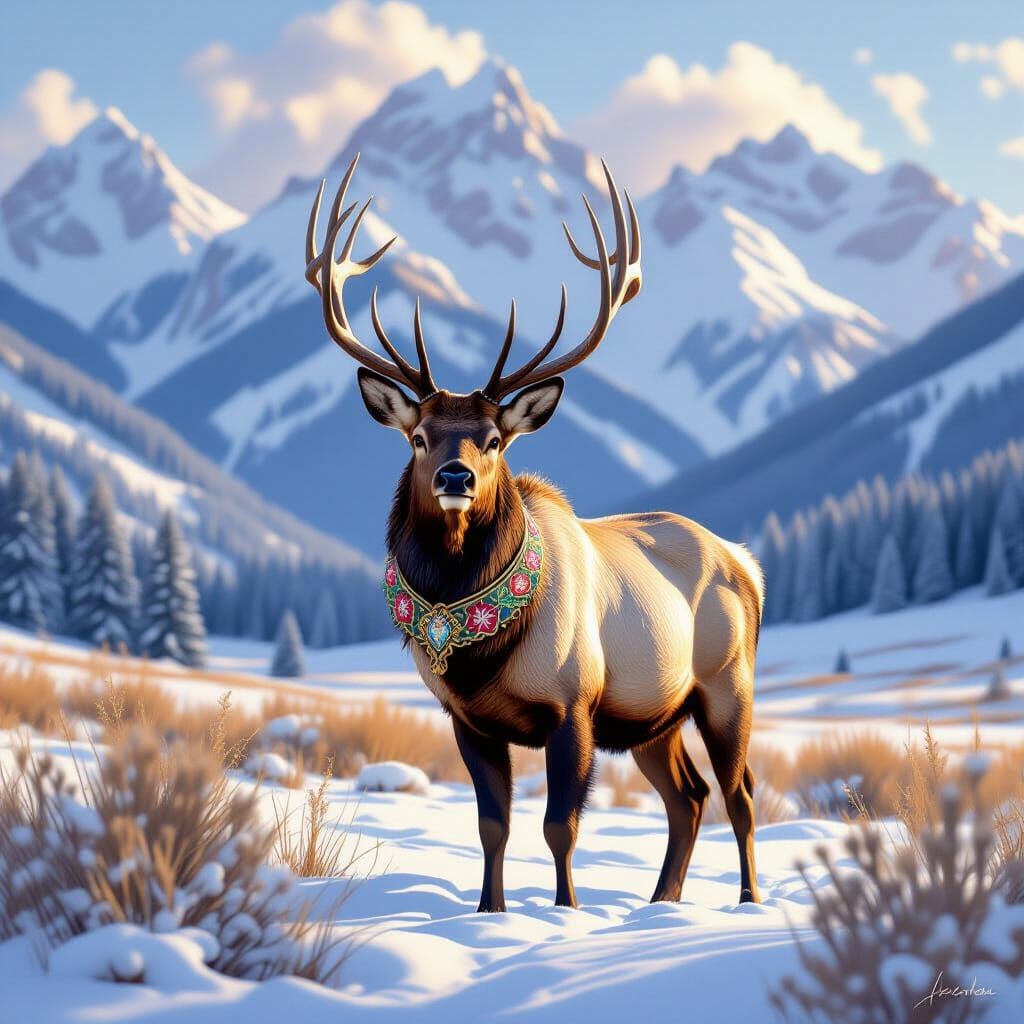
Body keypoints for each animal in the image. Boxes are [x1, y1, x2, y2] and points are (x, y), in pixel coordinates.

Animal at [304, 154, 764, 911]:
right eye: (420, 436)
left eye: (494, 439)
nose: (455, 477)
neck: (483, 650)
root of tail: (747, 564)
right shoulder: (466, 720)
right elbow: (492, 827)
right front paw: (489, 912)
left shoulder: (573, 706)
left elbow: (560, 827)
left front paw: (565, 911)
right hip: (653, 716)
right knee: (689, 797)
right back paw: (659, 903)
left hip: (727, 686)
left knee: (740, 795)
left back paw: (749, 900)